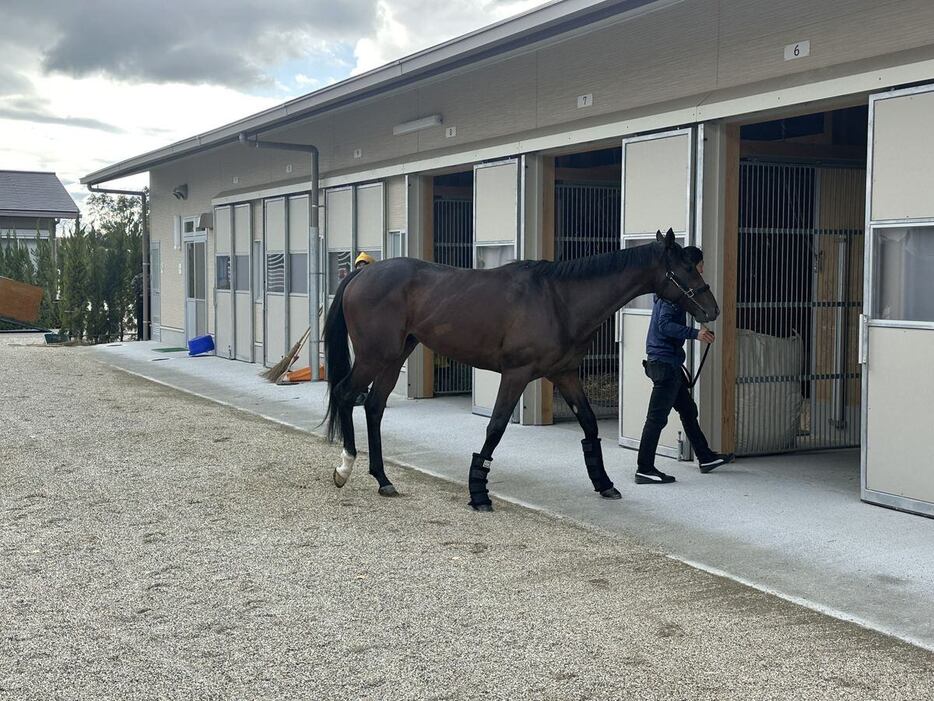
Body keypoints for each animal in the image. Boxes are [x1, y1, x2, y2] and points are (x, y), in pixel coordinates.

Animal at [326, 230, 720, 508]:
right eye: (686, 268)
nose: (713, 310)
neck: (559, 300)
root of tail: (362, 275)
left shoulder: (565, 374)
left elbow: (590, 425)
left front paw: (604, 483)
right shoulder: (516, 375)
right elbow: (496, 427)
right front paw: (479, 492)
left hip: (393, 358)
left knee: (373, 407)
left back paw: (383, 479)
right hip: (374, 356)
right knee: (346, 394)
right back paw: (345, 468)